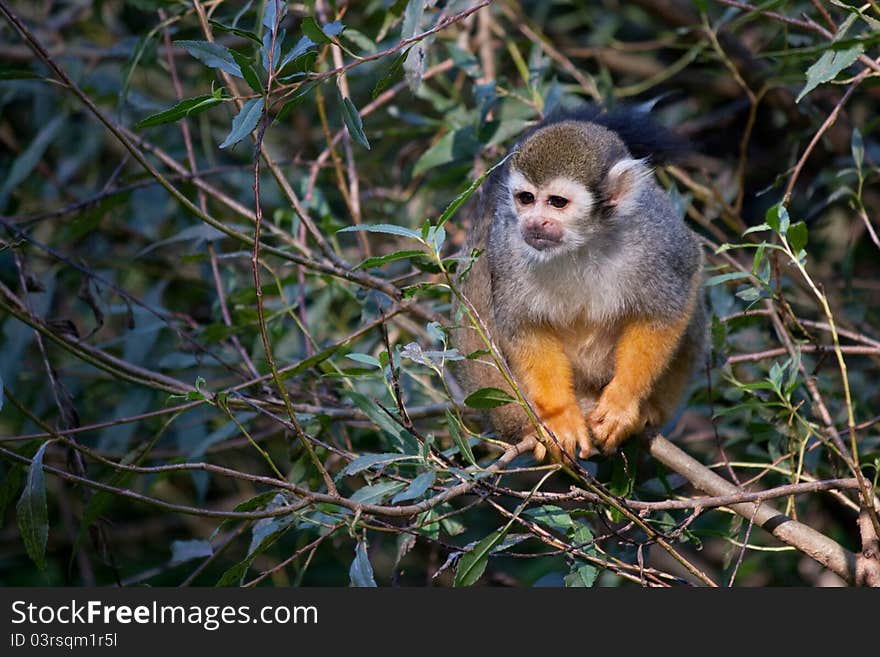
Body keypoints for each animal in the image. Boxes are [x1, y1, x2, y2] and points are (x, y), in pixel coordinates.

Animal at [454, 105, 708, 458]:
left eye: (557, 202)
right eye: (526, 198)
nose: (534, 222)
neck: (583, 242)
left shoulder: (657, 236)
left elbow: (671, 302)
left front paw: (622, 403)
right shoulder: (507, 245)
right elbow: (524, 328)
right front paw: (560, 419)